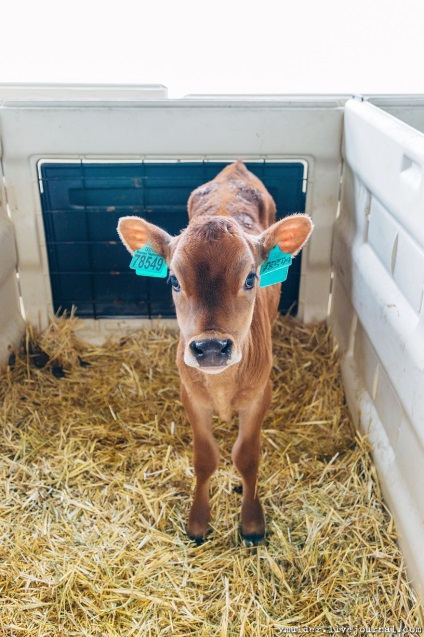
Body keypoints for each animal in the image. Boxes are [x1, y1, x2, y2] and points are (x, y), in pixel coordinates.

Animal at [117, 160, 314, 540]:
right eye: (173, 280)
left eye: (251, 278)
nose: (210, 347)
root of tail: (234, 168)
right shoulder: (191, 395)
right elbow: (205, 459)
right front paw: (198, 522)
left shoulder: (260, 394)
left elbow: (247, 457)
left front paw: (252, 523)